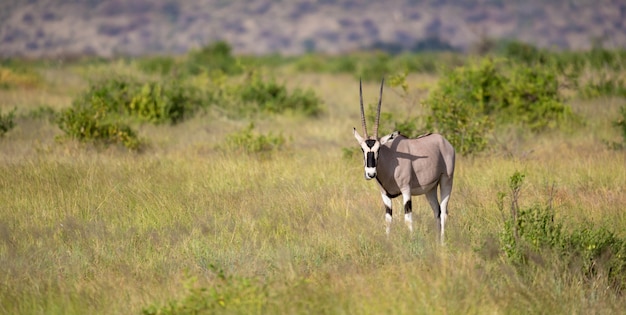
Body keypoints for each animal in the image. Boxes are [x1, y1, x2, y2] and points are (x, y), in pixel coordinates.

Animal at [352, 79, 454, 244]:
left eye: (379, 149)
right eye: (362, 149)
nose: (370, 173)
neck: (390, 160)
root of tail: (443, 141)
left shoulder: (406, 190)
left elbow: (408, 219)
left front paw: (412, 243)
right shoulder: (385, 195)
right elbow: (388, 220)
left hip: (446, 180)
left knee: (444, 210)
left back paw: (443, 244)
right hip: (430, 188)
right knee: (437, 210)